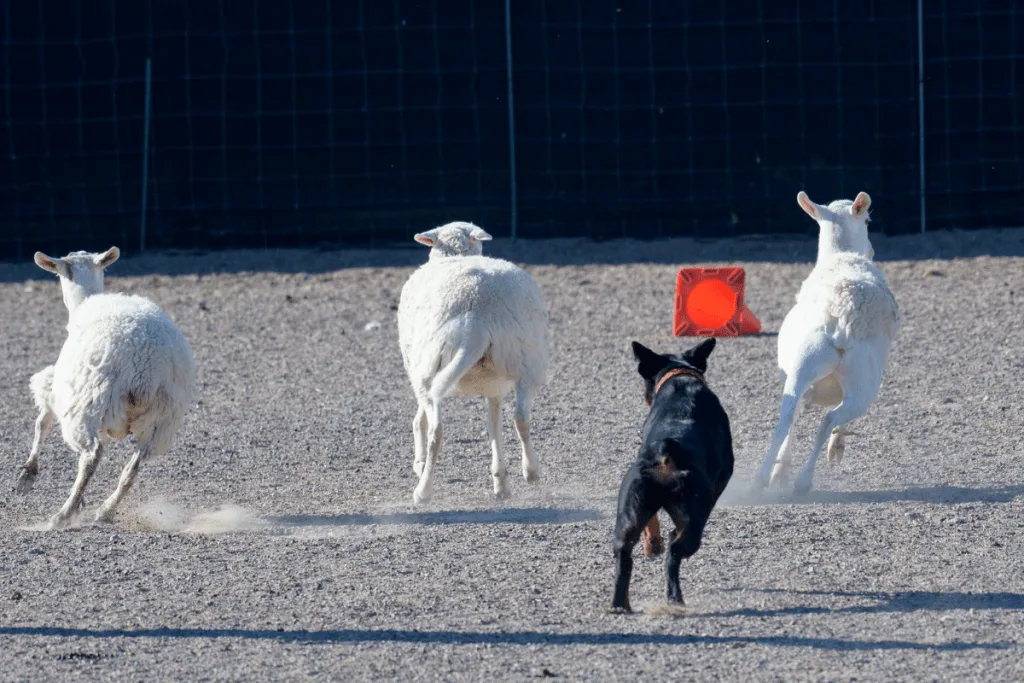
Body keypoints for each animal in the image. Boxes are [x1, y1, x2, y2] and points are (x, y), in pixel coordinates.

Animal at [18, 246, 196, 528]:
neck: (85, 300)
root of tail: (145, 372)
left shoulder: (63, 389)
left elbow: (42, 420)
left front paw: (28, 474)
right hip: (162, 420)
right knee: (133, 467)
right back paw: (105, 510)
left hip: (89, 404)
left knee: (91, 456)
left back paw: (64, 514)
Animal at [393, 222, 552, 505]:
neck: (455, 254)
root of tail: (476, 316)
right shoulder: (493, 385)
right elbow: (494, 426)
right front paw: (501, 483)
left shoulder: (419, 368)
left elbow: (420, 420)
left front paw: (419, 463)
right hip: (525, 360)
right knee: (521, 418)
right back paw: (531, 471)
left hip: (430, 364)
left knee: (436, 429)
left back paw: (423, 490)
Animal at [610, 339, 733, 610]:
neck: (680, 378)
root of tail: (666, 453)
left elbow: (651, 522)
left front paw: (652, 543)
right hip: (694, 519)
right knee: (674, 553)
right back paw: (675, 597)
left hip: (629, 509)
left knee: (624, 555)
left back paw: (620, 603)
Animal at [753, 192, 905, 497]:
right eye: (867, 220)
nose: (871, 251)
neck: (841, 257)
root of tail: (842, 321)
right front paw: (837, 447)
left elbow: (796, 414)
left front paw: (779, 474)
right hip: (865, 386)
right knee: (828, 420)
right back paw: (805, 479)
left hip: (805, 364)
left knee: (786, 416)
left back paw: (763, 480)